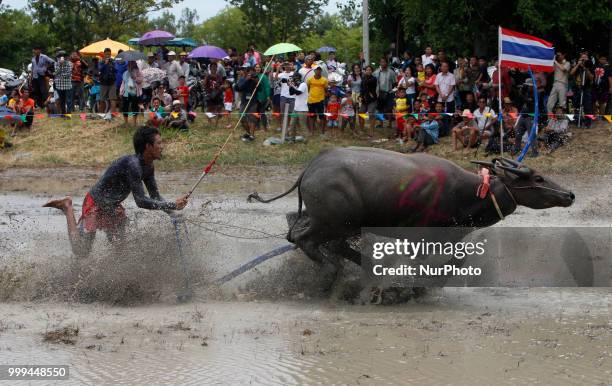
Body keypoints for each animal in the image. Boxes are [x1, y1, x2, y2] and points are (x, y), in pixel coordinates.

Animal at [247, 146, 572, 266]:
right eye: (538, 178)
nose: (569, 194)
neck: (467, 192)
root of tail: (310, 169)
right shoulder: (422, 235)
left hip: (338, 223)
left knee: (305, 236)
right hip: (333, 221)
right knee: (304, 239)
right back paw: (332, 268)